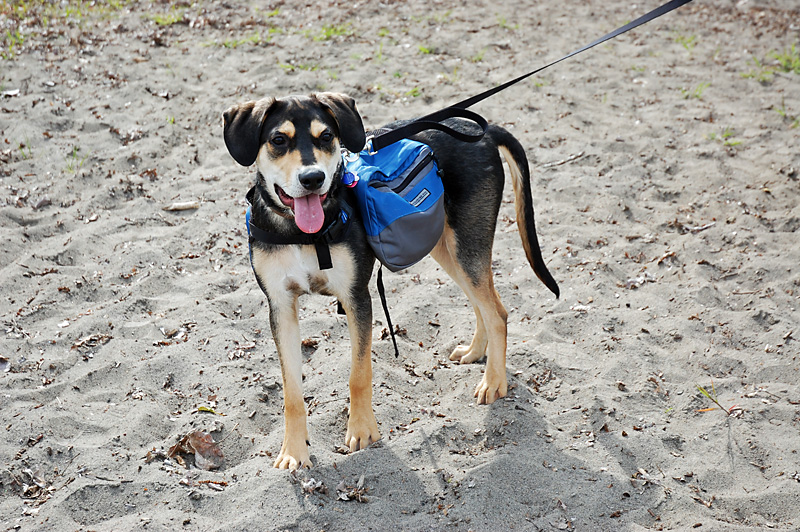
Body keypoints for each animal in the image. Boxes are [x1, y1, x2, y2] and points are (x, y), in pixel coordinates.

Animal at [219, 92, 556, 470]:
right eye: (278, 140)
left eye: (326, 136)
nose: (312, 178)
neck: (300, 233)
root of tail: (481, 131)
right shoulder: (280, 306)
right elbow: (291, 391)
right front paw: (293, 451)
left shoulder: (356, 297)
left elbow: (359, 374)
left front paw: (363, 430)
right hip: (446, 247)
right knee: (483, 304)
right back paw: (474, 352)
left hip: (466, 245)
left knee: (497, 311)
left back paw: (494, 381)